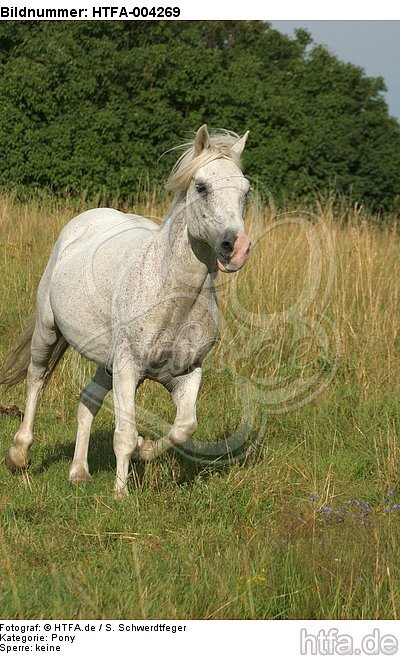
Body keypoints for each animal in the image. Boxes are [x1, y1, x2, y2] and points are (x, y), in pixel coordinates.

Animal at [0, 125, 252, 499]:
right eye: (201, 186)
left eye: (245, 191)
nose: (236, 248)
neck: (173, 299)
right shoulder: (128, 368)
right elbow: (125, 435)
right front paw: (121, 494)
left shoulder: (185, 372)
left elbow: (184, 427)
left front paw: (144, 451)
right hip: (49, 330)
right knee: (37, 378)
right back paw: (19, 454)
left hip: (107, 363)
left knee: (88, 399)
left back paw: (79, 472)